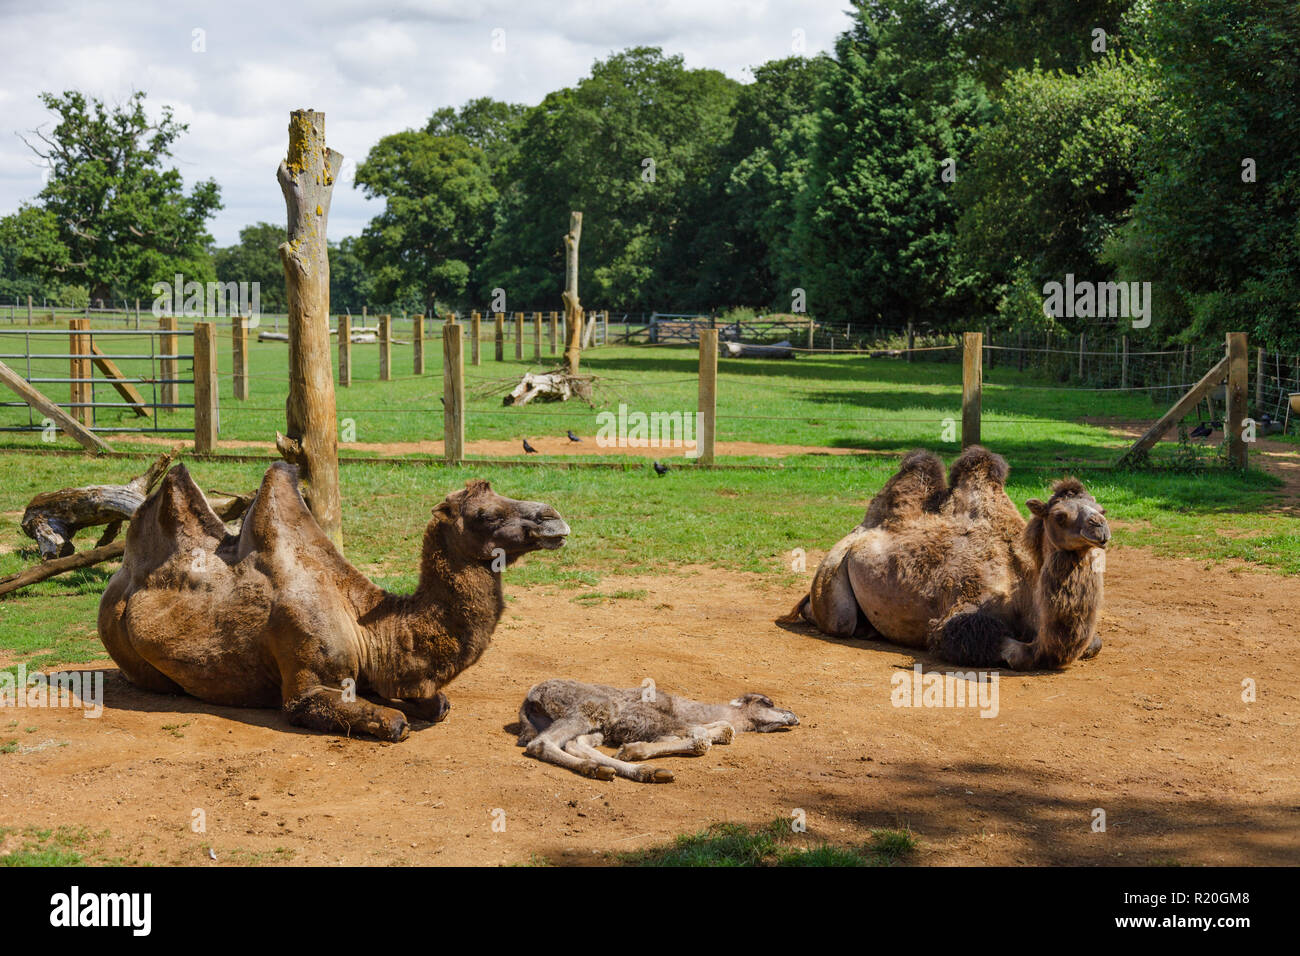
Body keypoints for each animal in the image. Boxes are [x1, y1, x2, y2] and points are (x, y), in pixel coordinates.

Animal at [98, 463, 566, 738]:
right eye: (485, 514)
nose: (553, 519)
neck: (370, 628)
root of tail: (118, 583)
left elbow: (438, 704)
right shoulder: (305, 681)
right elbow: (395, 723)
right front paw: (395, 717)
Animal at [512, 676, 795, 780]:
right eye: (767, 702)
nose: (793, 716)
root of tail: (530, 697)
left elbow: (723, 729)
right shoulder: (634, 717)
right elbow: (701, 737)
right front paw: (635, 749)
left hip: (594, 724)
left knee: (574, 743)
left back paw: (635, 772)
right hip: (593, 707)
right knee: (542, 743)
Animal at [774, 447, 1112, 671]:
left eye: (1101, 508)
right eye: (1059, 515)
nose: (1100, 527)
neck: (1025, 587)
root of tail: (856, 532)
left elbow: (1094, 643)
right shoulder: (960, 615)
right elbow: (1008, 650)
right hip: (832, 573)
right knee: (839, 620)